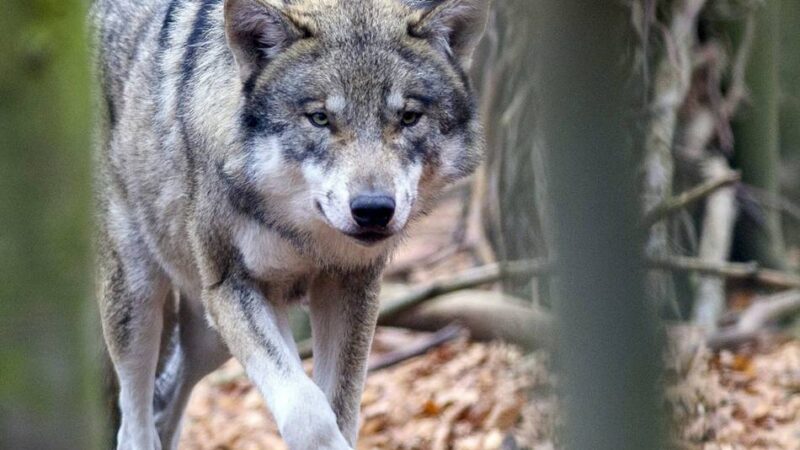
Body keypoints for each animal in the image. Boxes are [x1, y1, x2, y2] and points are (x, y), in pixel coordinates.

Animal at [91, 0, 488, 448]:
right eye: (319, 118)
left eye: (408, 117)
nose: (372, 209)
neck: (302, 233)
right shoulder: (233, 287)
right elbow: (307, 410)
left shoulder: (350, 284)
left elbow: (339, 407)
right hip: (141, 298)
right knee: (134, 421)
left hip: (208, 337)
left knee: (168, 406)